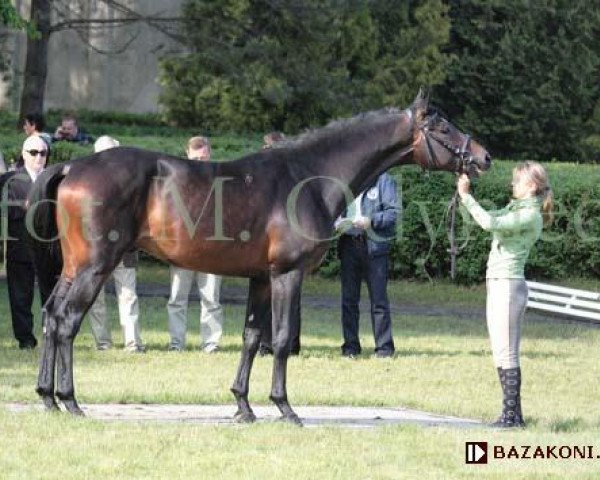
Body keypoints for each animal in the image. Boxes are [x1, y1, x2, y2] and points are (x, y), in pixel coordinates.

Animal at [24, 90, 492, 424]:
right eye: (443, 128)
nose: (484, 158)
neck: (309, 176)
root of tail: (72, 167)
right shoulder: (287, 275)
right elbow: (281, 339)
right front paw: (285, 408)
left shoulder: (261, 278)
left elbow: (252, 337)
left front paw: (243, 407)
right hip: (95, 266)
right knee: (67, 320)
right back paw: (70, 401)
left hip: (74, 267)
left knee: (50, 315)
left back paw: (47, 398)